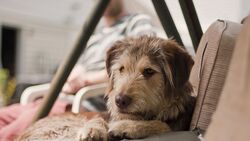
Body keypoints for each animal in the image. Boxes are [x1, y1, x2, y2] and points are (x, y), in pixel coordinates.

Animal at [16, 35, 196, 140]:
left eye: (149, 71)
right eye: (121, 69)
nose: (119, 100)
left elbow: (163, 125)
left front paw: (127, 127)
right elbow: (98, 118)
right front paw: (92, 130)